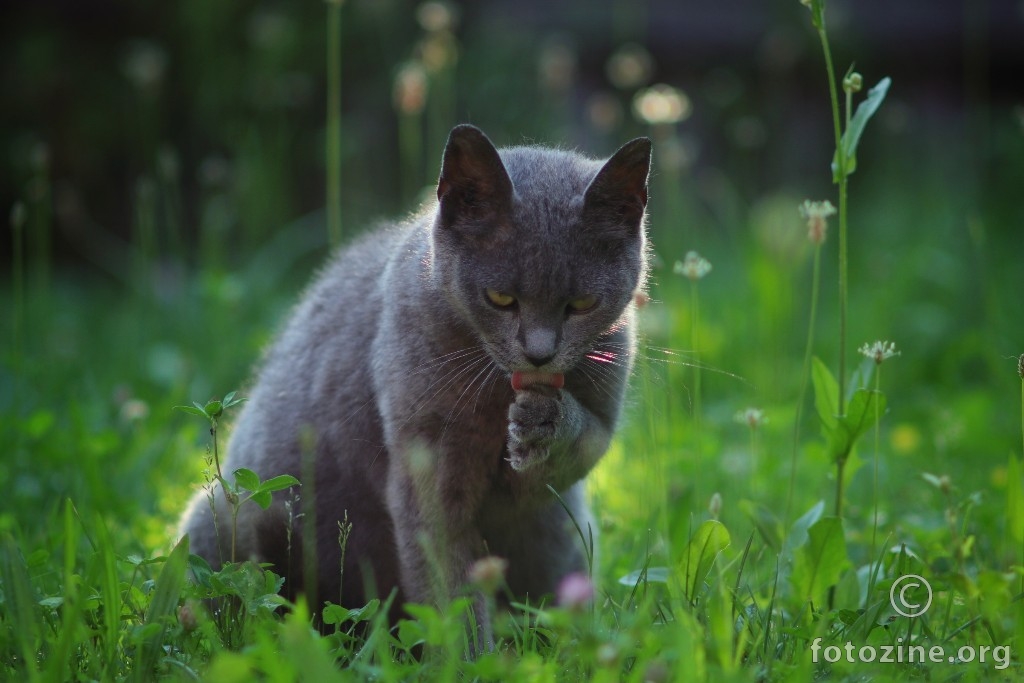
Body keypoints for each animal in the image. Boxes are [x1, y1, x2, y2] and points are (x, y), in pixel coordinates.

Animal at [180, 124, 651, 634]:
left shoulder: (601, 410)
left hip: (559, 540)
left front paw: (543, 422)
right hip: (227, 517)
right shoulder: (428, 461)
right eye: (500, 298)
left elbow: (578, 449)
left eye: (582, 305)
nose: (540, 355)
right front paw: (467, 652)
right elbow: (450, 583)